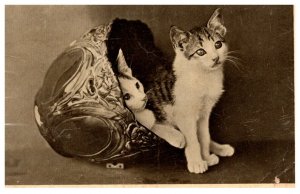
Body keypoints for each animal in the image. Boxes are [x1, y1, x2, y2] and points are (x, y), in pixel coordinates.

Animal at [166, 8, 234, 174]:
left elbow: (204, 136)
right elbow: (192, 139)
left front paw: (207, 157)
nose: (215, 58)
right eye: (200, 52)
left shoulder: (204, 113)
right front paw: (197, 162)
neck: (204, 76)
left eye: (218, 44)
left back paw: (220, 149)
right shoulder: (184, 115)